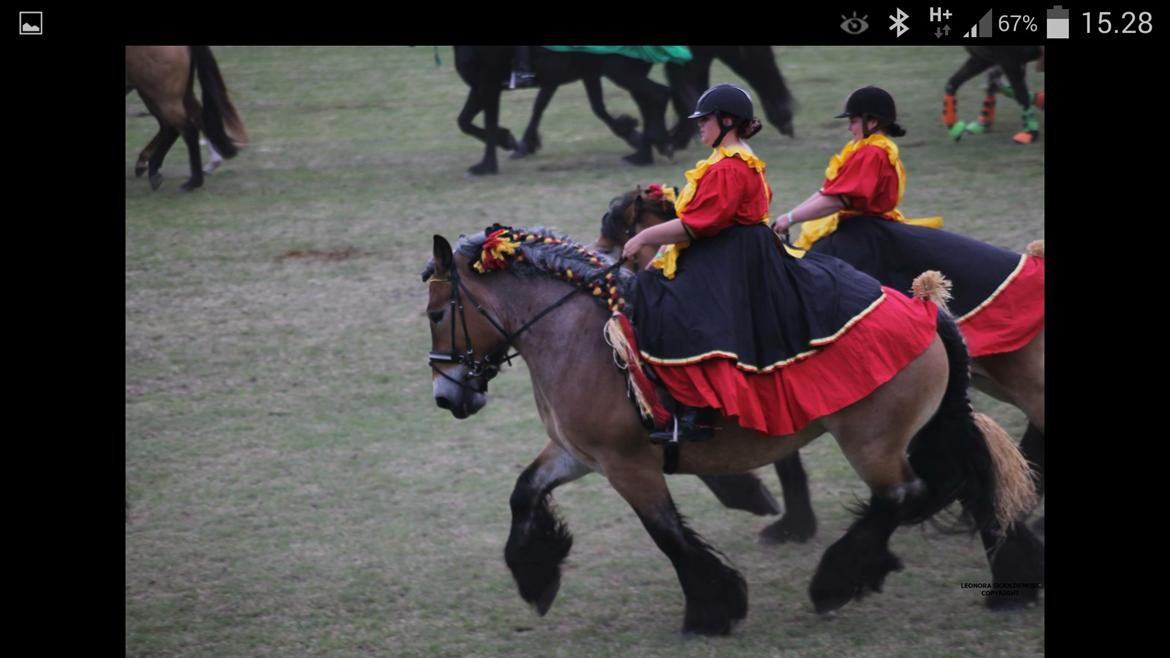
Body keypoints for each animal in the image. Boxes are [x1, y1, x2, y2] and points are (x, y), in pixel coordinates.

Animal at [423, 227, 1043, 636]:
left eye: (435, 313)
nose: (447, 397)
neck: (574, 335)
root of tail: (925, 308)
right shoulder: (577, 454)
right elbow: (523, 491)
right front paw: (536, 578)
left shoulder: (628, 465)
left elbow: (668, 534)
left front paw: (712, 610)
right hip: (924, 430)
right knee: (970, 483)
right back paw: (1008, 586)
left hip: (873, 441)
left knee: (903, 494)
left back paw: (837, 581)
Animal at [451, 46, 673, 174]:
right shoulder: (480, 87)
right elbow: (464, 121)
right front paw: (509, 141)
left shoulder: (488, 85)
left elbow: (488, 123)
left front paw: (487, 166)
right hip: (626, 74)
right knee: (650, 102)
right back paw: (647, 151)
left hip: (622, 72)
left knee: (657, 96)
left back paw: (649, 150)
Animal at [599, 186, 1048, 543]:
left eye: (618, 228)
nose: (611, 265)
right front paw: (791, 521)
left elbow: (783, 457)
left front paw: (786, 521)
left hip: (1023, 382)